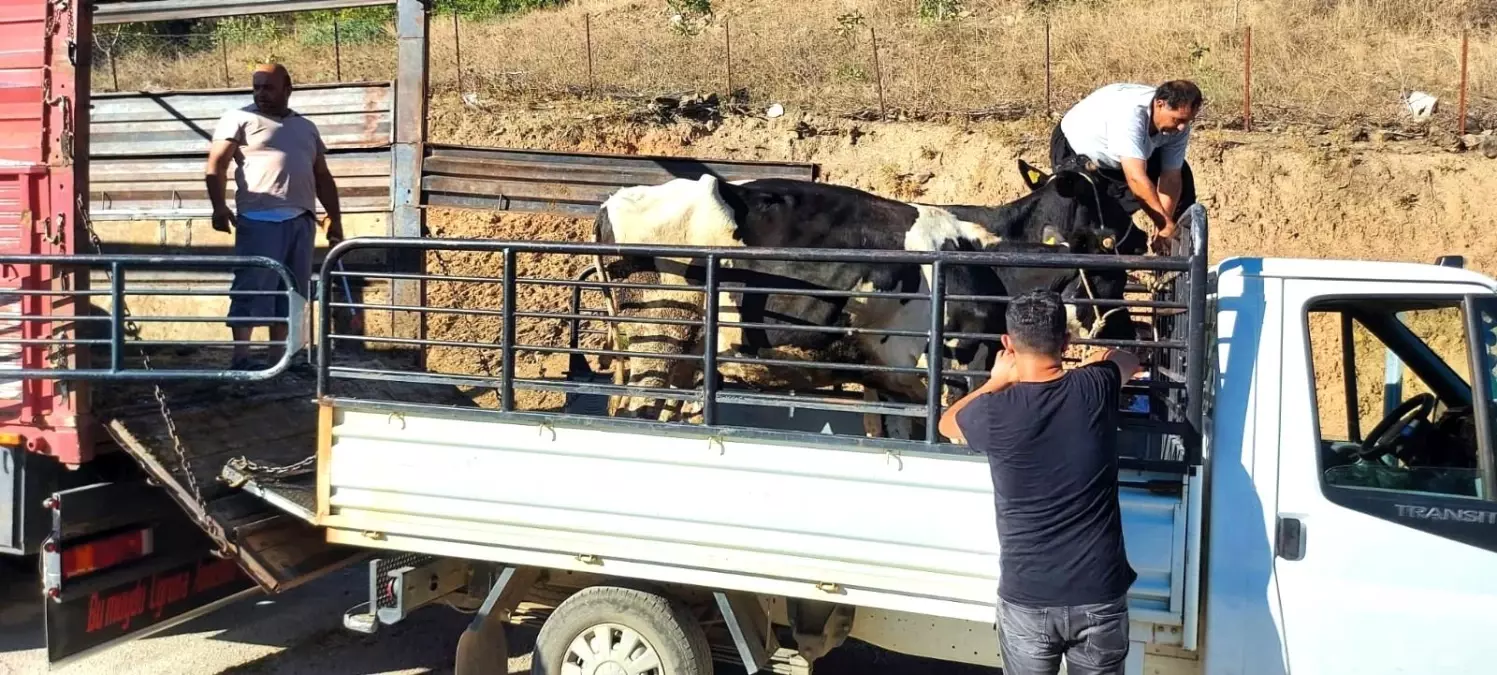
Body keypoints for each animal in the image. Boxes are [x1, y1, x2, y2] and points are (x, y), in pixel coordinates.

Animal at [583, 157, 1131, 440]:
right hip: (659, 333)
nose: (1127, 332)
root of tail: (612, 202)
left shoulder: (891, 379)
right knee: (640, 409)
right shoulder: (958, 372)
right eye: (1113, 275)